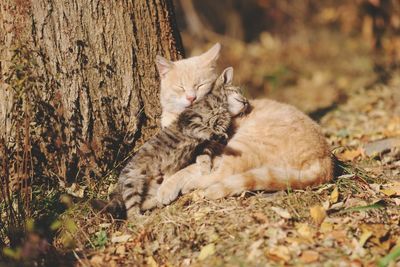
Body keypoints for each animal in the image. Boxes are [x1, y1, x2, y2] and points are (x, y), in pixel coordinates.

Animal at [94, 67, 250, 220]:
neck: (223, 110)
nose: (246, 102)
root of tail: (119, 184)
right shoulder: (189, 121)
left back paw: (157, 202)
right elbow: (204, 129)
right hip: (132, 181)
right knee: (130, 212)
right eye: (237, 91)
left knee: (143, 203)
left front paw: (205, 170)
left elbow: (204, 157)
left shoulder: (204, 145)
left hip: (150, 186)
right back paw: (141, 219)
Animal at [155, 44, 332, 203]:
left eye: (200, 85)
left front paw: (165, 189)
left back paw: (195, 186)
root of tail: (325, 161)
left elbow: (185, 171)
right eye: (180, 87)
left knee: (223, 174)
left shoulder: (217, 149)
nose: (245, 101)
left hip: (245, 142)